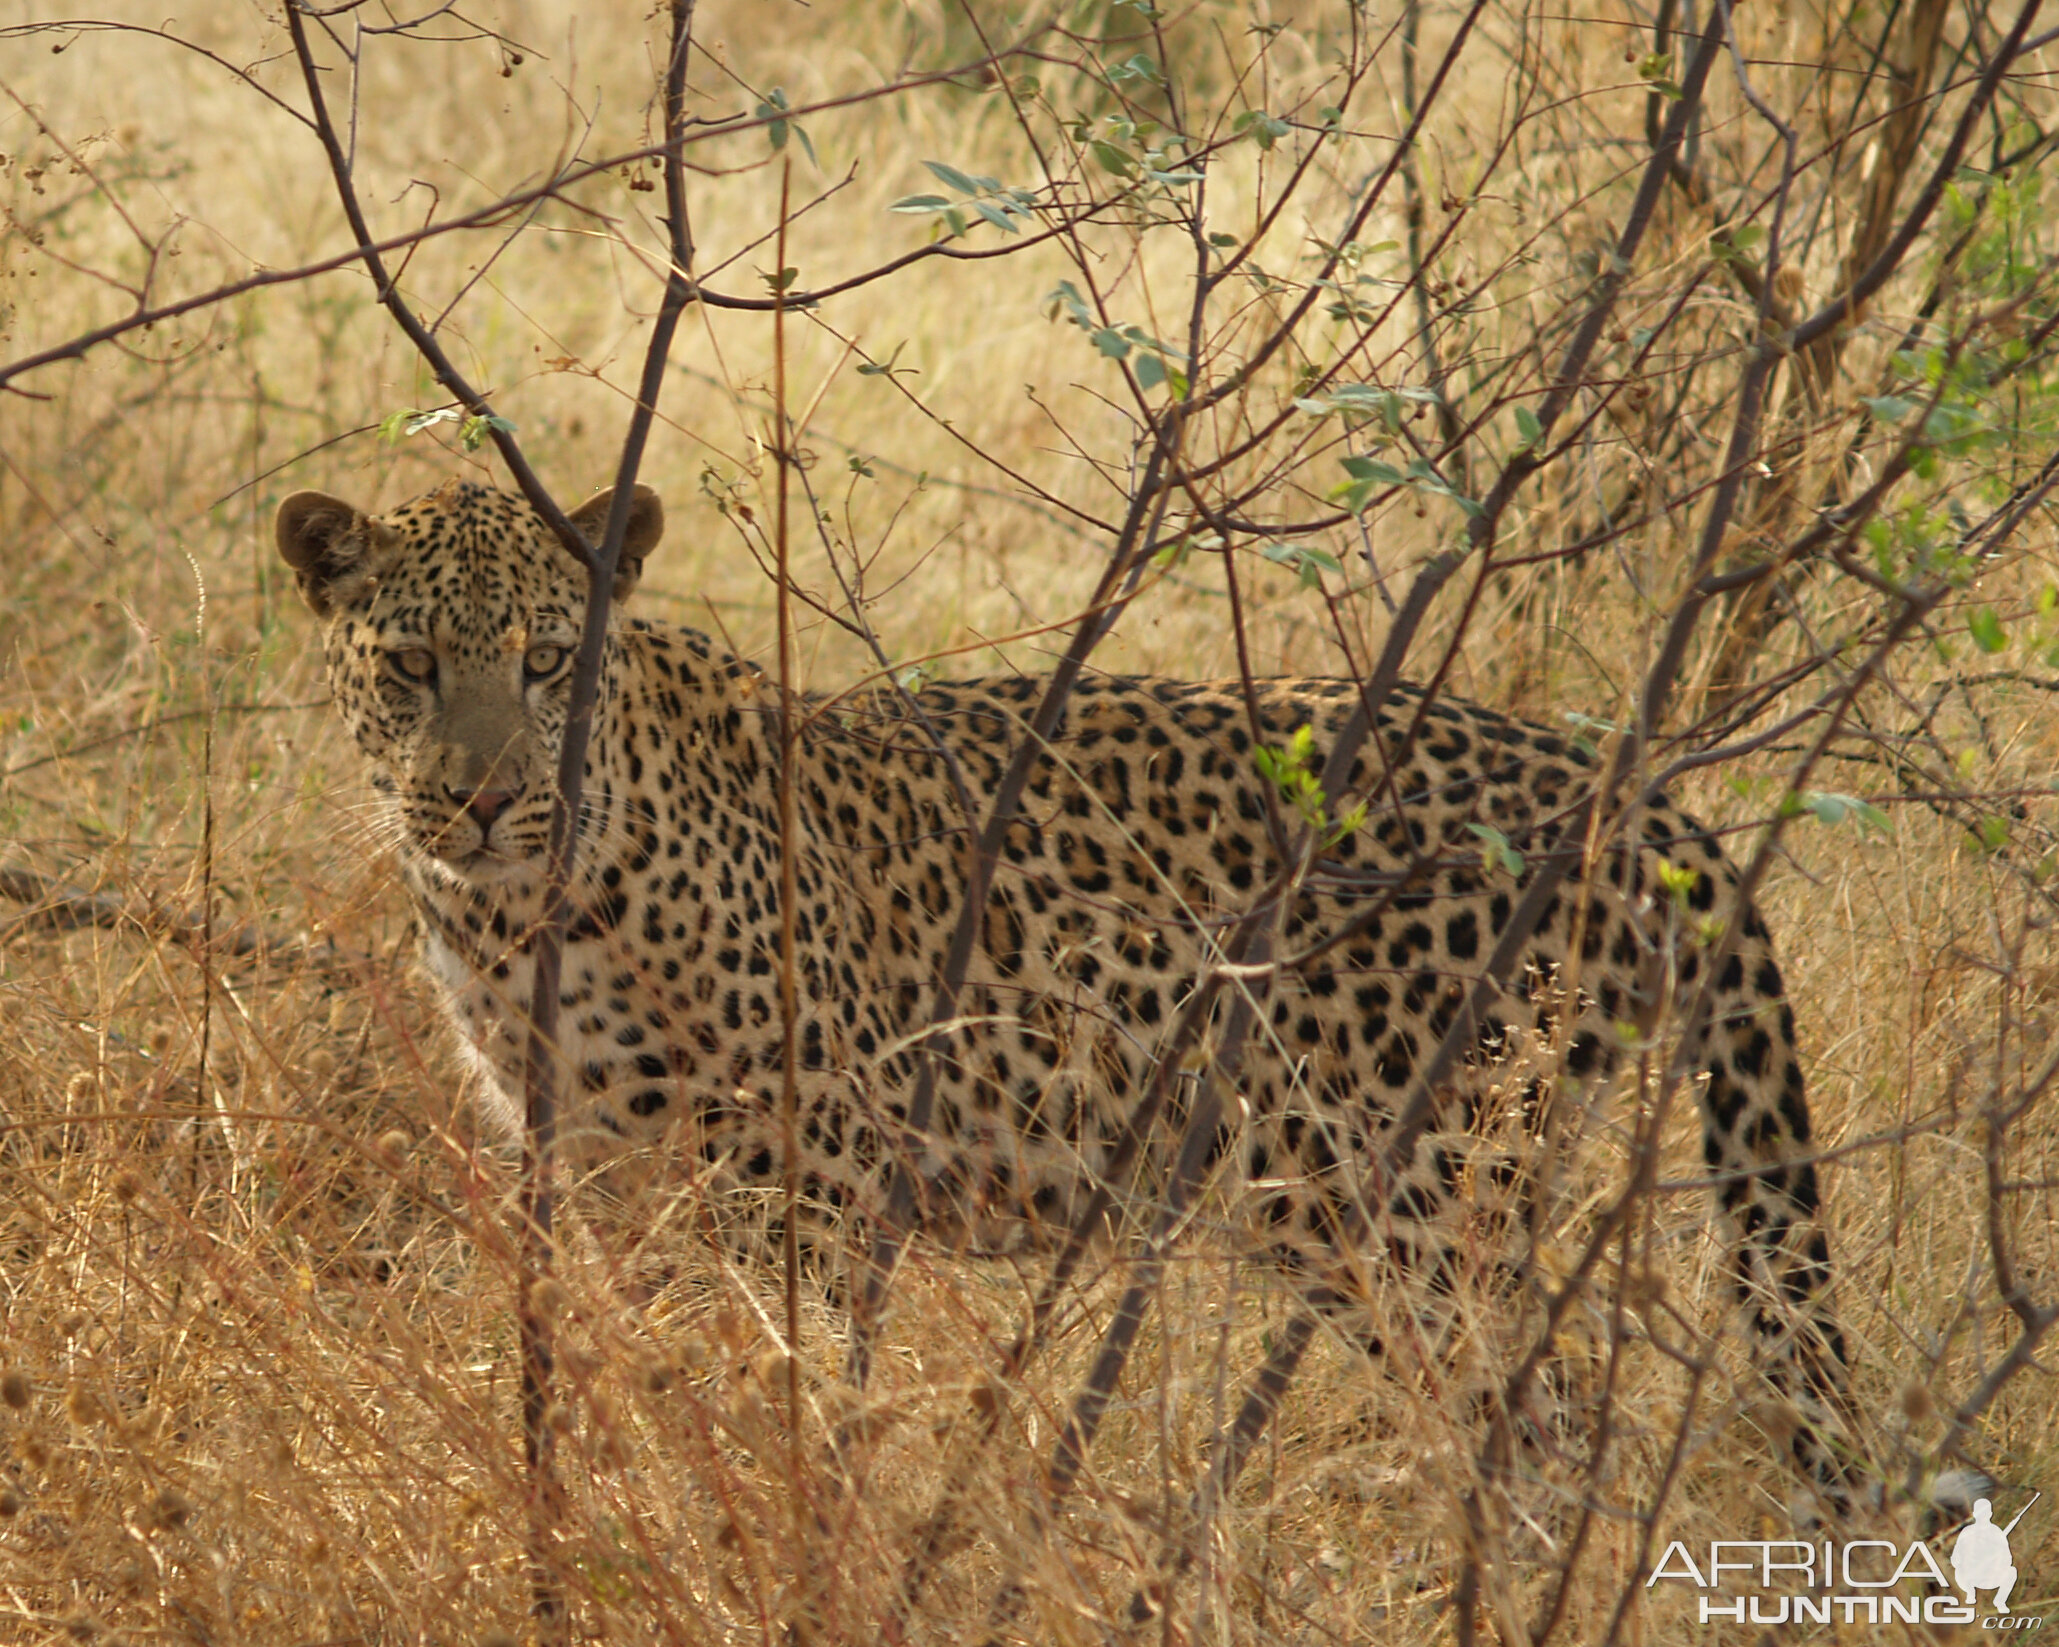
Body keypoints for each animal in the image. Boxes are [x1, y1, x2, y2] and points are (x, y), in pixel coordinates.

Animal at [269, 473, 1853, 1490]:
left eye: (548, 660)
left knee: (1550, 1430)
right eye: (408, 664)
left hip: (1396, 1194)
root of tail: (1631, 796)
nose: (480, 800)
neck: (514, 915)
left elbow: (795, 1389)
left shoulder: (809, 1172)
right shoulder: (599, 1174)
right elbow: (657, 1389)